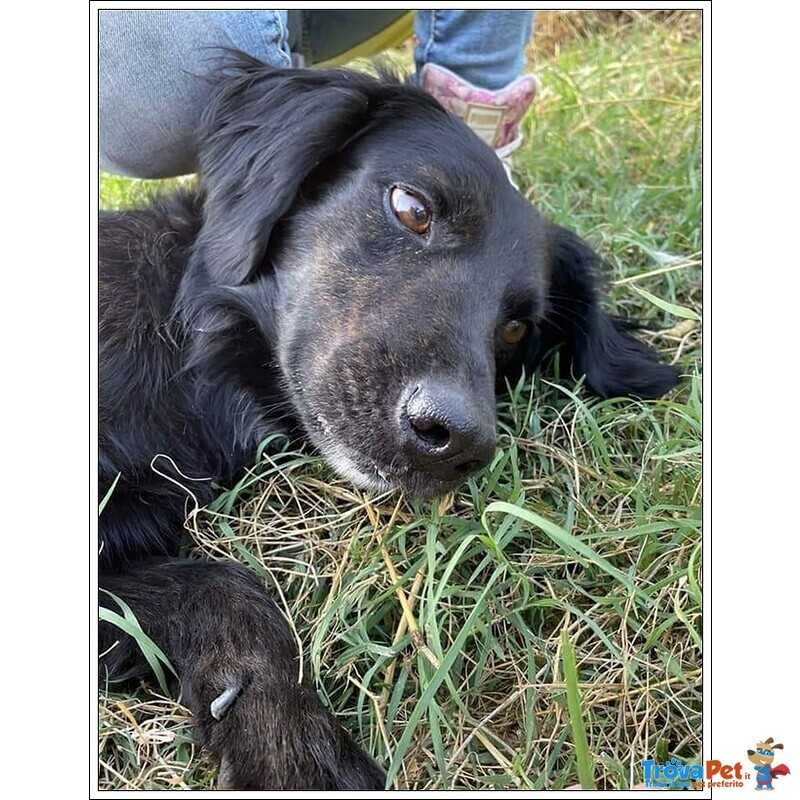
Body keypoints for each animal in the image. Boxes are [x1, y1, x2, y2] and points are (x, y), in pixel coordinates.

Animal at [97, 56, 680, 788]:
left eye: (516, 328)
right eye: (412, 208)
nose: (459, 442)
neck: (197, 367)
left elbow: (217, 583)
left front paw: (269, 724)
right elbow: (226, 581)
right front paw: (289, 744)